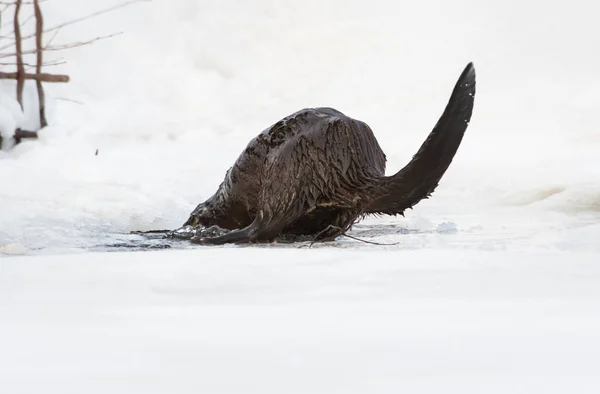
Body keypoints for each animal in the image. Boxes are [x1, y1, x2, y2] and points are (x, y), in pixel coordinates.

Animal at [185, 63, 476, 245]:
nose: (194, 222)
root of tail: (352, 170)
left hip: (286, 171)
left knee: (264, 225)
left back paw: (207, 238)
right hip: (342, 206)